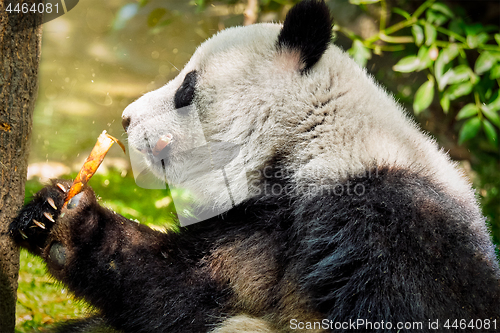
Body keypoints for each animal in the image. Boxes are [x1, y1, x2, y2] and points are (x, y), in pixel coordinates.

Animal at [9, 0, 500, 332]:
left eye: (186, 87)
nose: (127, 118)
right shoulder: (255, 227)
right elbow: (190, 281)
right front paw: (58, 217)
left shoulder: (397, 226)